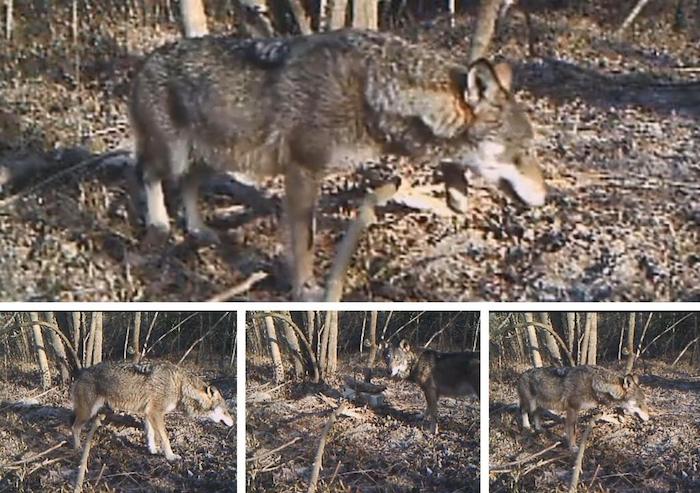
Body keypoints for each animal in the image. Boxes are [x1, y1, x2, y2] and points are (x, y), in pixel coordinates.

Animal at [70, 360, 233, 460]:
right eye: (225, 411)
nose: (233, 422)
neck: (180, 386)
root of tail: (81, 373)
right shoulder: (155, 413)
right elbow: (165, 438)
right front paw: (170, 456)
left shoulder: (147, 413)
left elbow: (151, 434)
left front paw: (152, 450)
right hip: (87, 413)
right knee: (74, 428)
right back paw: (77, 448)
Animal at [131, 28, 546, 298]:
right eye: (520, 150)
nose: (546, 196)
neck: (372, 92)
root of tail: (144, 61)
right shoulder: (302, 171)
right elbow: (304, 243)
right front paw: (306, 291)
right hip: (175, 154)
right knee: (149, 175)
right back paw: (160, 225)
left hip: (211, 157)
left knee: (187, 185)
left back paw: (199, 230)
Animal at [517, 365, 650, 451]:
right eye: (640, 403)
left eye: (644, 402)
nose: (648, 418)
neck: (594, 385)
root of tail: (521, 375)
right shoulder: (572, 409)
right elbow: (573, 431)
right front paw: (573, 447)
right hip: (531, 404)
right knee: (523, 411)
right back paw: (527, 427)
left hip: (539, 405)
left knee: (535, 415)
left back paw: (539, 429)